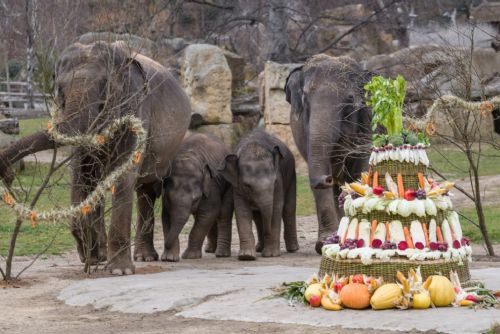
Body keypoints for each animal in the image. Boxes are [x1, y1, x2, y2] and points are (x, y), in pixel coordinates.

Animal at [0, 41, 191, 274]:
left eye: (105, 87)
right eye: (59, 90)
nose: (6, 172)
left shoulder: (137, 108)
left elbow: (123, 173)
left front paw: (119, 271)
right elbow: (82, 174)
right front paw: (92, 255)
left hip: (174, 146)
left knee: (155, 188)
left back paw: (162, 258)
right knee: (139, 191)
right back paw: (131, 256)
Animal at [162, 132, 234, 260]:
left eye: (195, 199)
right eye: (169, 198)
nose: (165, 244)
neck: (187, 155)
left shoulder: (212, 185)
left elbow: (209, 213)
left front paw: (189, 256)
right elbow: (165, 216)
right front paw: (169, 258)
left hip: (229, 184)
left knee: (223, 213)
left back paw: (221, 254)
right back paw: (210, 250)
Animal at [219, 129, 296, 260]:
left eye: (274, 182)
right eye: (247, 185)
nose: (267, 232)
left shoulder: (279, 180)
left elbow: (276, 207)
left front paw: (271, 255)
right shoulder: (237, 186)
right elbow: (242, 210)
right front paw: (247, 256)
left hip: (291, 175)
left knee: (288, 210)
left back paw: (293, 249)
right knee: (257, 217)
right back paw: (259, 248)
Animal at [284, 54, 374, 253]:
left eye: (350, 100)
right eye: (305, 99)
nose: (326, 179)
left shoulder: (367, 122)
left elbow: (359, 169)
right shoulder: (304, 130)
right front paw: (324, 243)